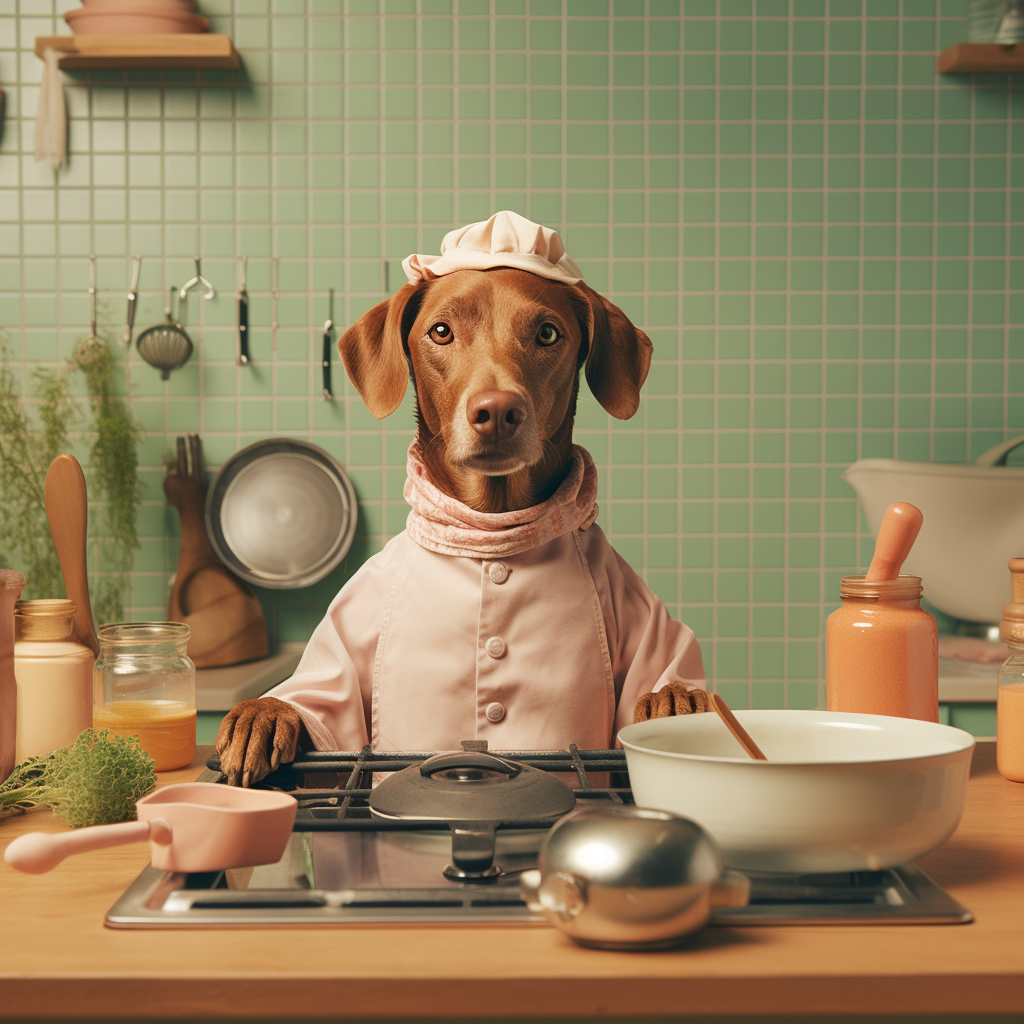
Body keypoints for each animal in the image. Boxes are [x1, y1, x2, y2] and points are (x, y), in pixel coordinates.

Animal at [218, 264, 704, 782]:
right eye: (441, 331)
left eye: (548, 333)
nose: (497, 412)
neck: (492, 532)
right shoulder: (354, 621)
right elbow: (317, 697)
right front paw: (264, 711)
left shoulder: (628, 602)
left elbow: (662, 672)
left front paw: (676, 699)